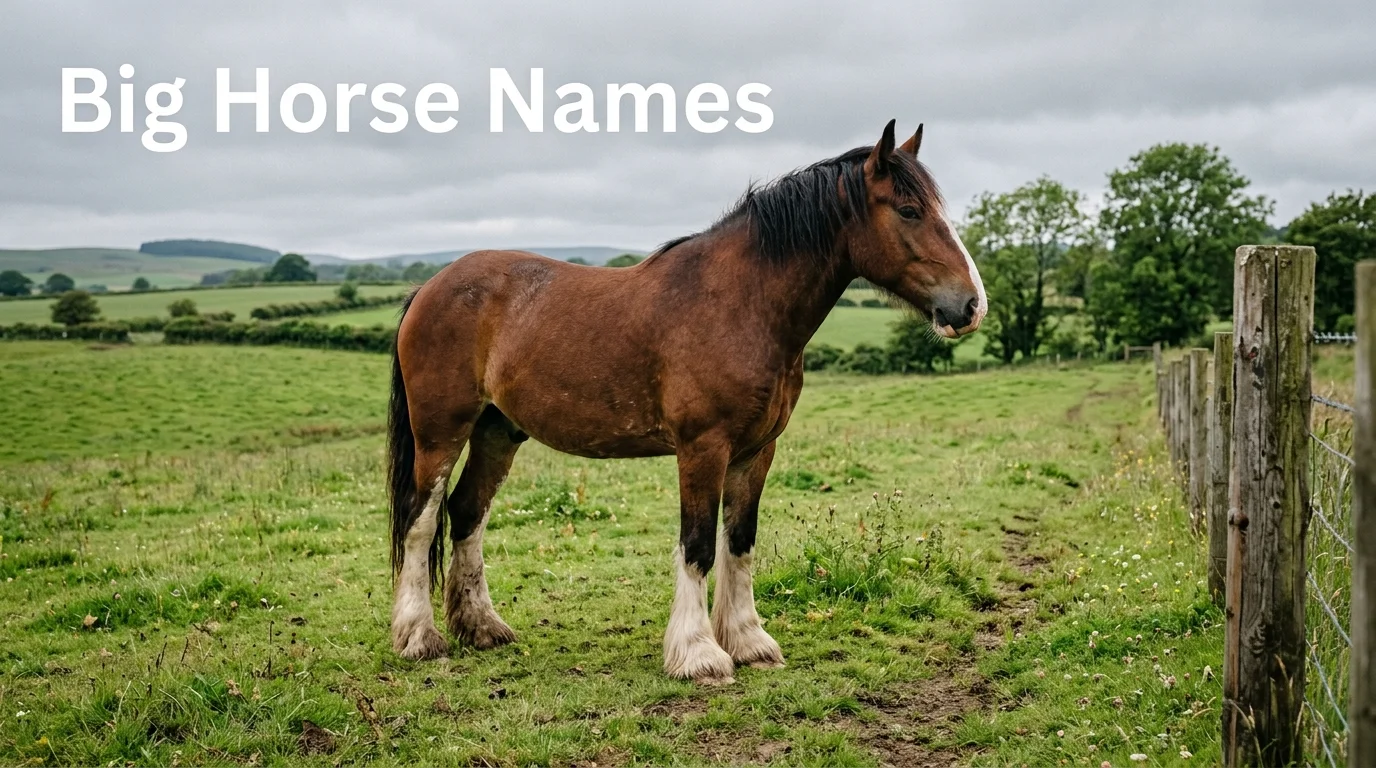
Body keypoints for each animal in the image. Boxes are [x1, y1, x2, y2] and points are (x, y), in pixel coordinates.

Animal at [386, 119, 986, 684]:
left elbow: (739, 542)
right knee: (421, 518)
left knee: (467, 514)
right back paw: (419, 638)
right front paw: (698, 654)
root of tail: (429, 287)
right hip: (441, 432)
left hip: (497, 430)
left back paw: (481, 628)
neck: (741, 303)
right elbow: (697, 545)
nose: (971, 305)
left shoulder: (755, 452)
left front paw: (749, 642)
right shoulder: (703, 448)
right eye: (909, 210)